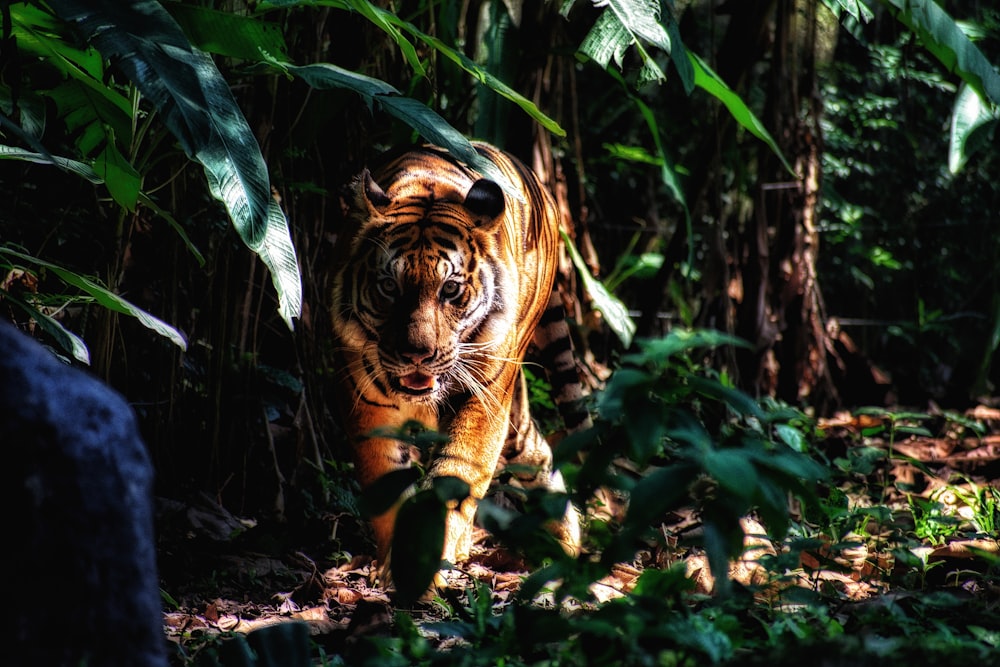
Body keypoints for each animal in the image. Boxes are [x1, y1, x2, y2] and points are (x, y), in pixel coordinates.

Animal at [332, 141, 588, 576]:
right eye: (389, 287)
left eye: (449, 289)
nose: (417, 354)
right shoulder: (368, 409)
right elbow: (387, 485)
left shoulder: (483, 403)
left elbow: (456, 477)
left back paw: (565, 545)